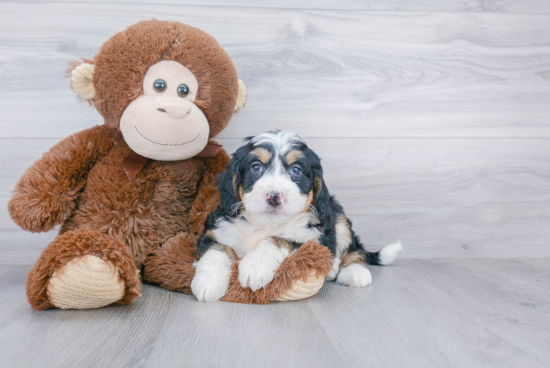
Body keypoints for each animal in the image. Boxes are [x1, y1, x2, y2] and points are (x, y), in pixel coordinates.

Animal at [192, 131, 404, 300]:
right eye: (256, 167)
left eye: (296, 170)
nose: (274, 196)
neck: (265, 224)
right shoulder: (215, 230)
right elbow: (217, 250)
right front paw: (208, 282)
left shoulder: (313, 240)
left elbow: (277, 239)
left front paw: (255, 266)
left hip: (337, 214)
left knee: (354, 248)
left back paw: (354, 271)